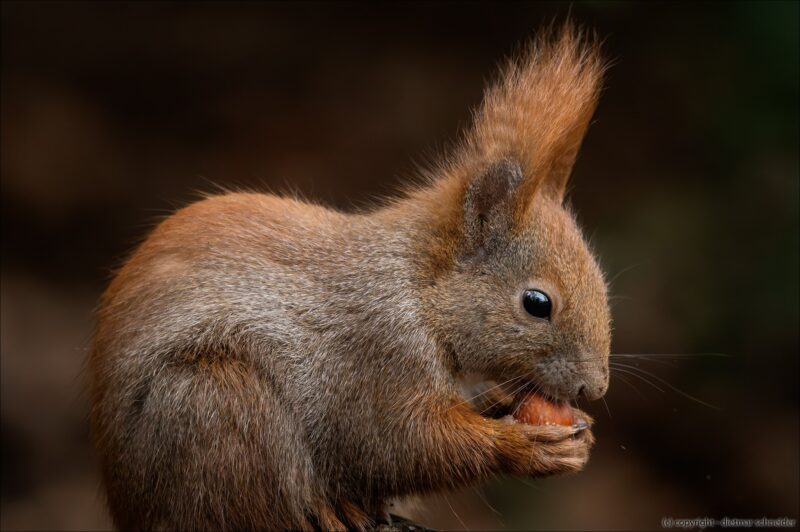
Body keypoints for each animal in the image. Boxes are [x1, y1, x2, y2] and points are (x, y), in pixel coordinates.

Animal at [89, 26, 612, 532]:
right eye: (537, 303)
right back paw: (324, 511)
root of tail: (125, 503)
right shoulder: (375, 358)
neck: (416, 290)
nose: (594, 389)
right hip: (214, 404)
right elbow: (408, 444)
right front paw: (526, 447)